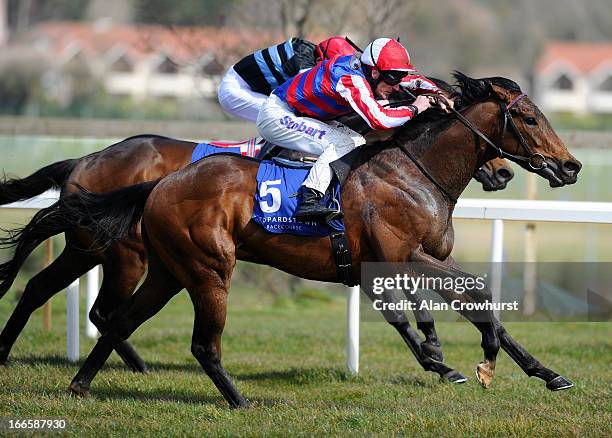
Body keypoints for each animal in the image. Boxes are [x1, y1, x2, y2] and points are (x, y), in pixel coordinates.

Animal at [41, 72, 580, 408]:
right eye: (529, 118)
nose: (570, 166)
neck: (412, 173)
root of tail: (159, 184)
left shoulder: (409, 260)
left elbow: (473, 303)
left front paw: (544, 373)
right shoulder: (400, 256)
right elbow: (460, 300)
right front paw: (456, 358)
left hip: (168, 271)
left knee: (117, 322)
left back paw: (80, 385)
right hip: (204, 269)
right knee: (200, 344)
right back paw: (240, 402)